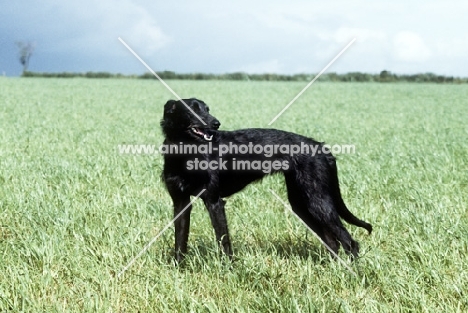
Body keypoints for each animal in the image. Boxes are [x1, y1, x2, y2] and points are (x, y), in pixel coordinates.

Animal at [162, 97, 372, 260]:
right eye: (192, 109)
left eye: (207, 109)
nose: (216, 124)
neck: (186, 152)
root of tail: (322, 148)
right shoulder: (180, 202)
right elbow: (179, 240)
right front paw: (179, 269)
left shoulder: (214, 201)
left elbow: (223, 241)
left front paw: (228, 268)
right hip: (302, 204)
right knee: (332, 242)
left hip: (318, 202)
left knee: (349, 242)